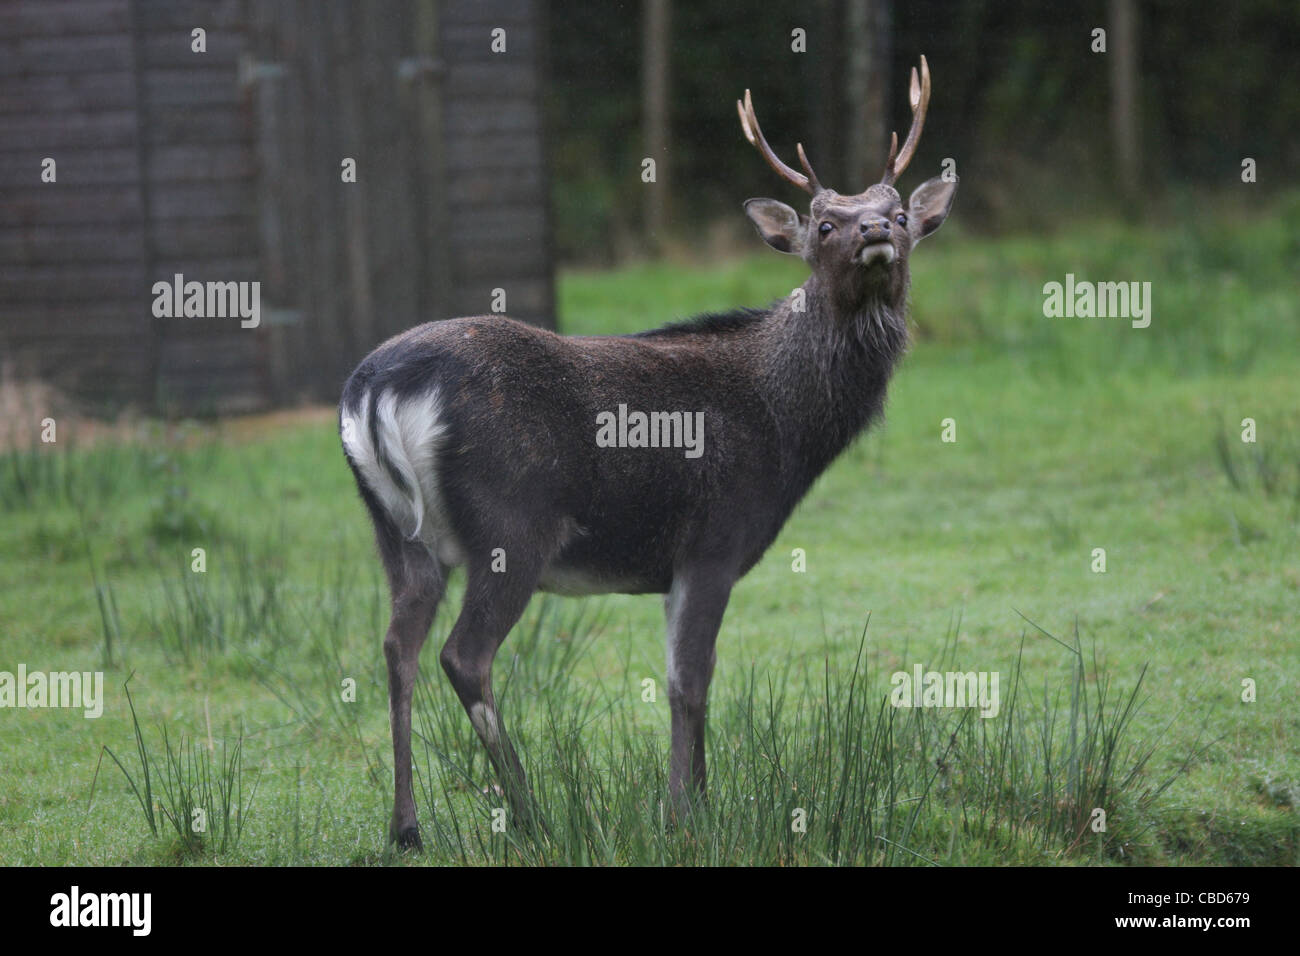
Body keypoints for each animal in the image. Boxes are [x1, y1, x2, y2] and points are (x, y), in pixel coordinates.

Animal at [340, 55, 961, 848]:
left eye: (903, 214)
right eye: (825, 224)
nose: (877, 228)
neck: (786, 427)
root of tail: (373, 389)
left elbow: (688, 678)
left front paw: (696, 801)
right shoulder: (714, 539)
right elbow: (688, 680)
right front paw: (686, 817)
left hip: (397, 533)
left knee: (398, 648)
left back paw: (407, 826)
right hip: (514, 525)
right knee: (463, 654)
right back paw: (535, 816)